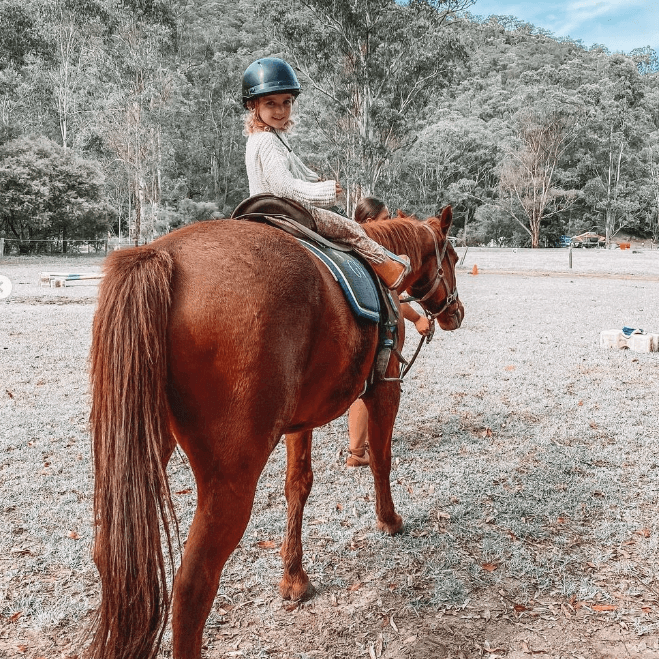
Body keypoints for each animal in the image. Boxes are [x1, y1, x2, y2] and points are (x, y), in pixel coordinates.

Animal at [86, 206, 464, 659]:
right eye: (453, 258)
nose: (456, 313)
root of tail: (163, 256)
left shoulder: (300, 421)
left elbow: (297, 485)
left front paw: (294, 577)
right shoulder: (385, 390)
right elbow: (381, 459)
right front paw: (388, 520)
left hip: (141, 453)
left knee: (109, 554)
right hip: (231, 479)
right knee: (192, 586)